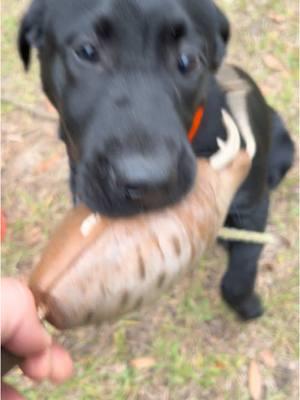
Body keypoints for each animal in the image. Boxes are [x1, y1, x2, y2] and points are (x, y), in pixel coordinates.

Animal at [17, 0, 294, 318]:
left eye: (188, 60)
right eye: (86, 51)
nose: (147, 184)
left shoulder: (253, 203)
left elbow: (241, 271)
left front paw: (248, 305)